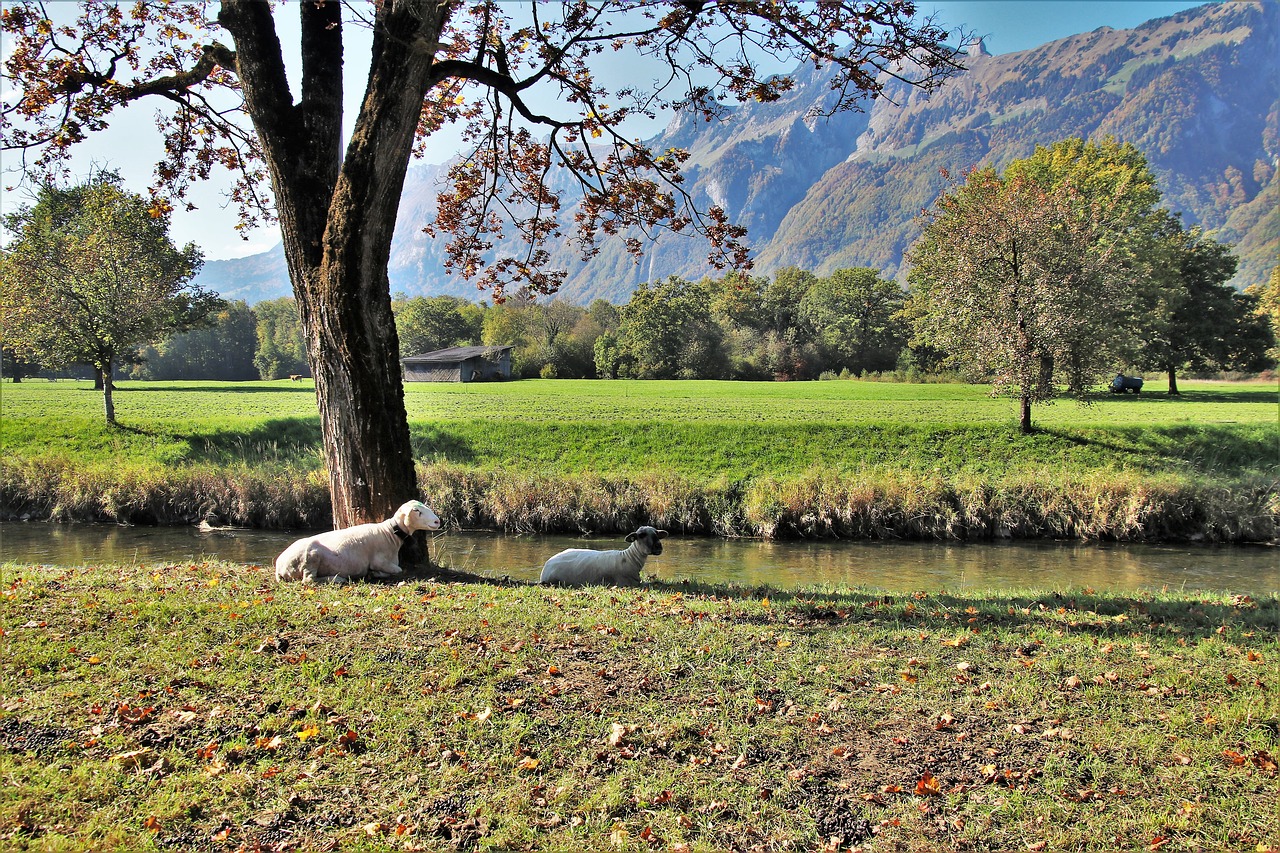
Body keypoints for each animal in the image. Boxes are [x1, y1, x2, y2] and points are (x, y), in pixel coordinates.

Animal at [537, 525, 670, 584]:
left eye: (657, 533)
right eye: (641, 535)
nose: (659, 546)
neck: (629, 558)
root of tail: (545, 567)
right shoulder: (627, 583)